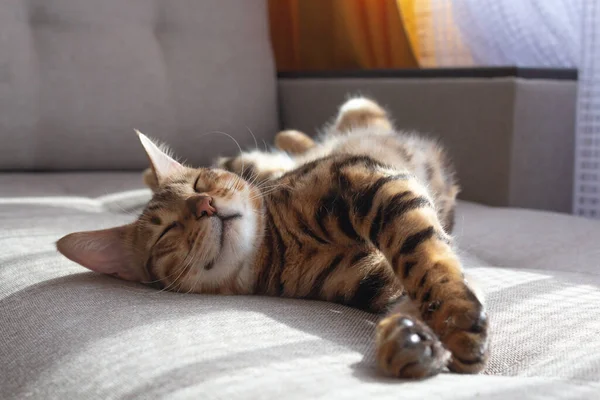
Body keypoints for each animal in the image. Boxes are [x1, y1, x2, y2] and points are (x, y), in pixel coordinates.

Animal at [57, 97, 488, 378]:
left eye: (199, 184)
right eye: (167, 230)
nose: (205, 205)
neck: (279, 248)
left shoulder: (367, 178)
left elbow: (425, 258)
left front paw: (455, 320)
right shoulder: (373, 279)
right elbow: (411, 286)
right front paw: (411, 339)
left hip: (303, 145)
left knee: (353, 114)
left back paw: (291, 135)